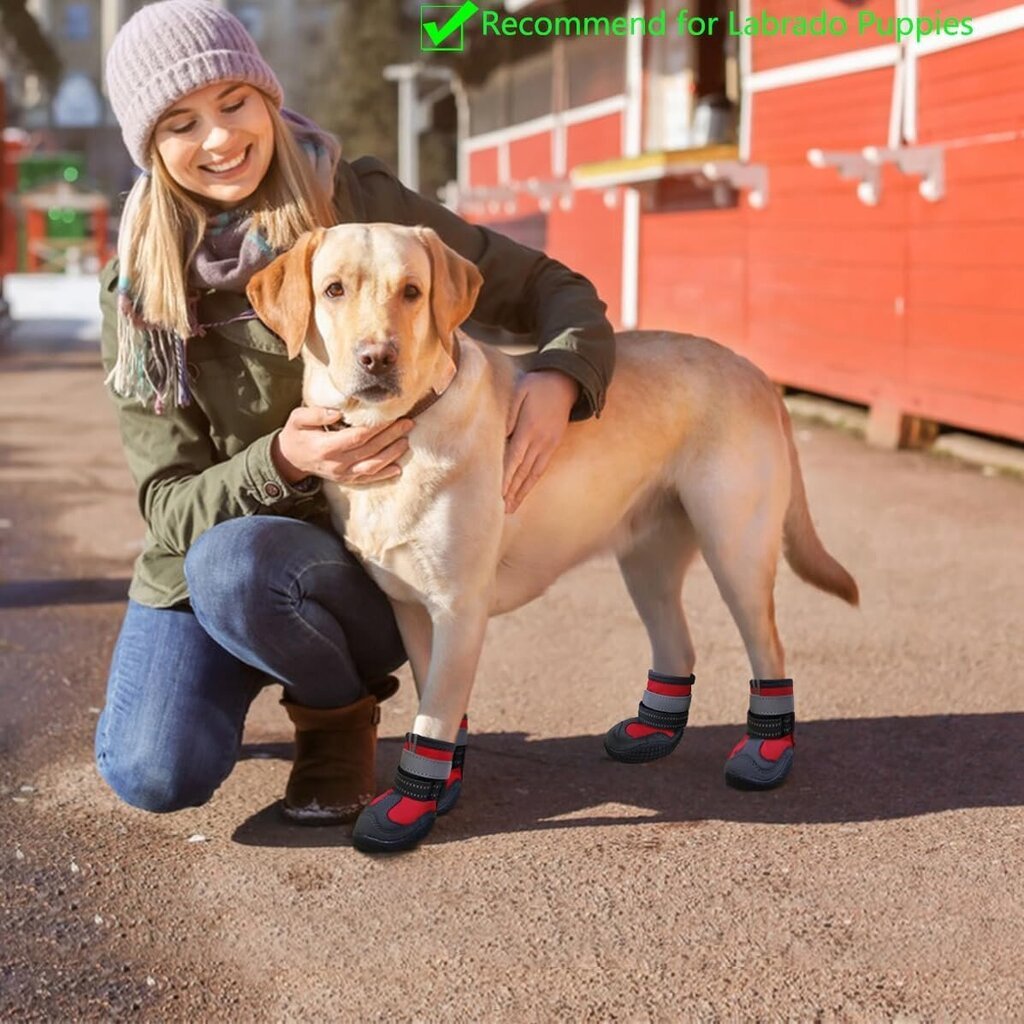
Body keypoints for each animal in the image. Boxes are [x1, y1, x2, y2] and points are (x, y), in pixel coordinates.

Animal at [247, 226, 856, 856]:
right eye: (334, 289)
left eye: (412, 291)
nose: (377, 357)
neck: (404, 428)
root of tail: (752, 369)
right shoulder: (410, 608)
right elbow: (435, 699)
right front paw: (441, 784)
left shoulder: (458, 609)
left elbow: (434, 715)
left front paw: (411, 804)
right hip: (647, 563)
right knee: (678, 645)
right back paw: (654, 729)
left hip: (736, 551)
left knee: (769, 649)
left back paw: (766, 752)